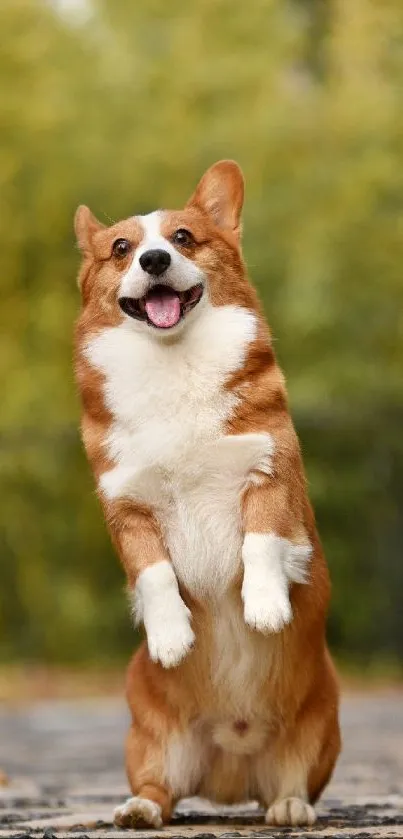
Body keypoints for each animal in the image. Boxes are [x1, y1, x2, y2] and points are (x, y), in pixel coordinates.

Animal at [75, 161, 340, 832]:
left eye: (184, 238)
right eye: (122, 248)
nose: (154, 259)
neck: (174, 365)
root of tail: (229, 772)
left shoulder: (269, 475)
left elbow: (261, 542)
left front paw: (265, 606)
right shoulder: (127, 509)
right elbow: (154, 574)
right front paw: (171, 636)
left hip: (322, 726)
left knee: (287, 783)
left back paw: (290, 806)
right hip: (148, 734)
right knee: (162, 789)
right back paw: (138, 809)